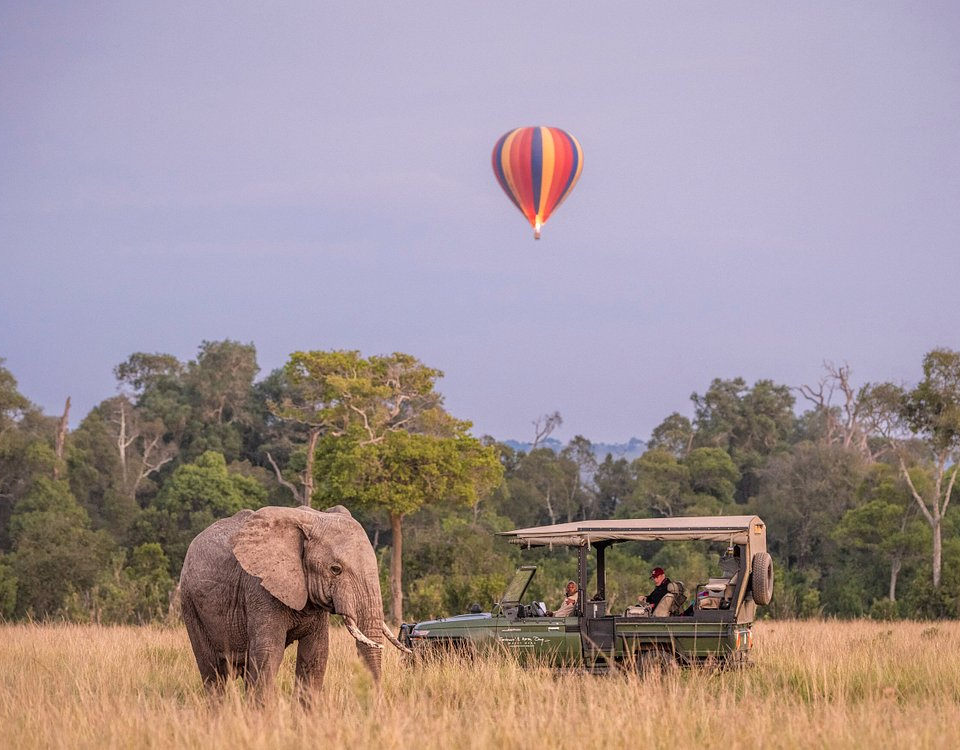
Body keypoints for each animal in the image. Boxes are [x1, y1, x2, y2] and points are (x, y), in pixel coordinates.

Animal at [180, 506, 408, 700]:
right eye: (335, 569)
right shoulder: (259, 589)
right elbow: (268, 655)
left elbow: (316, 655)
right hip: (190, 603)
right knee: (212, 672)